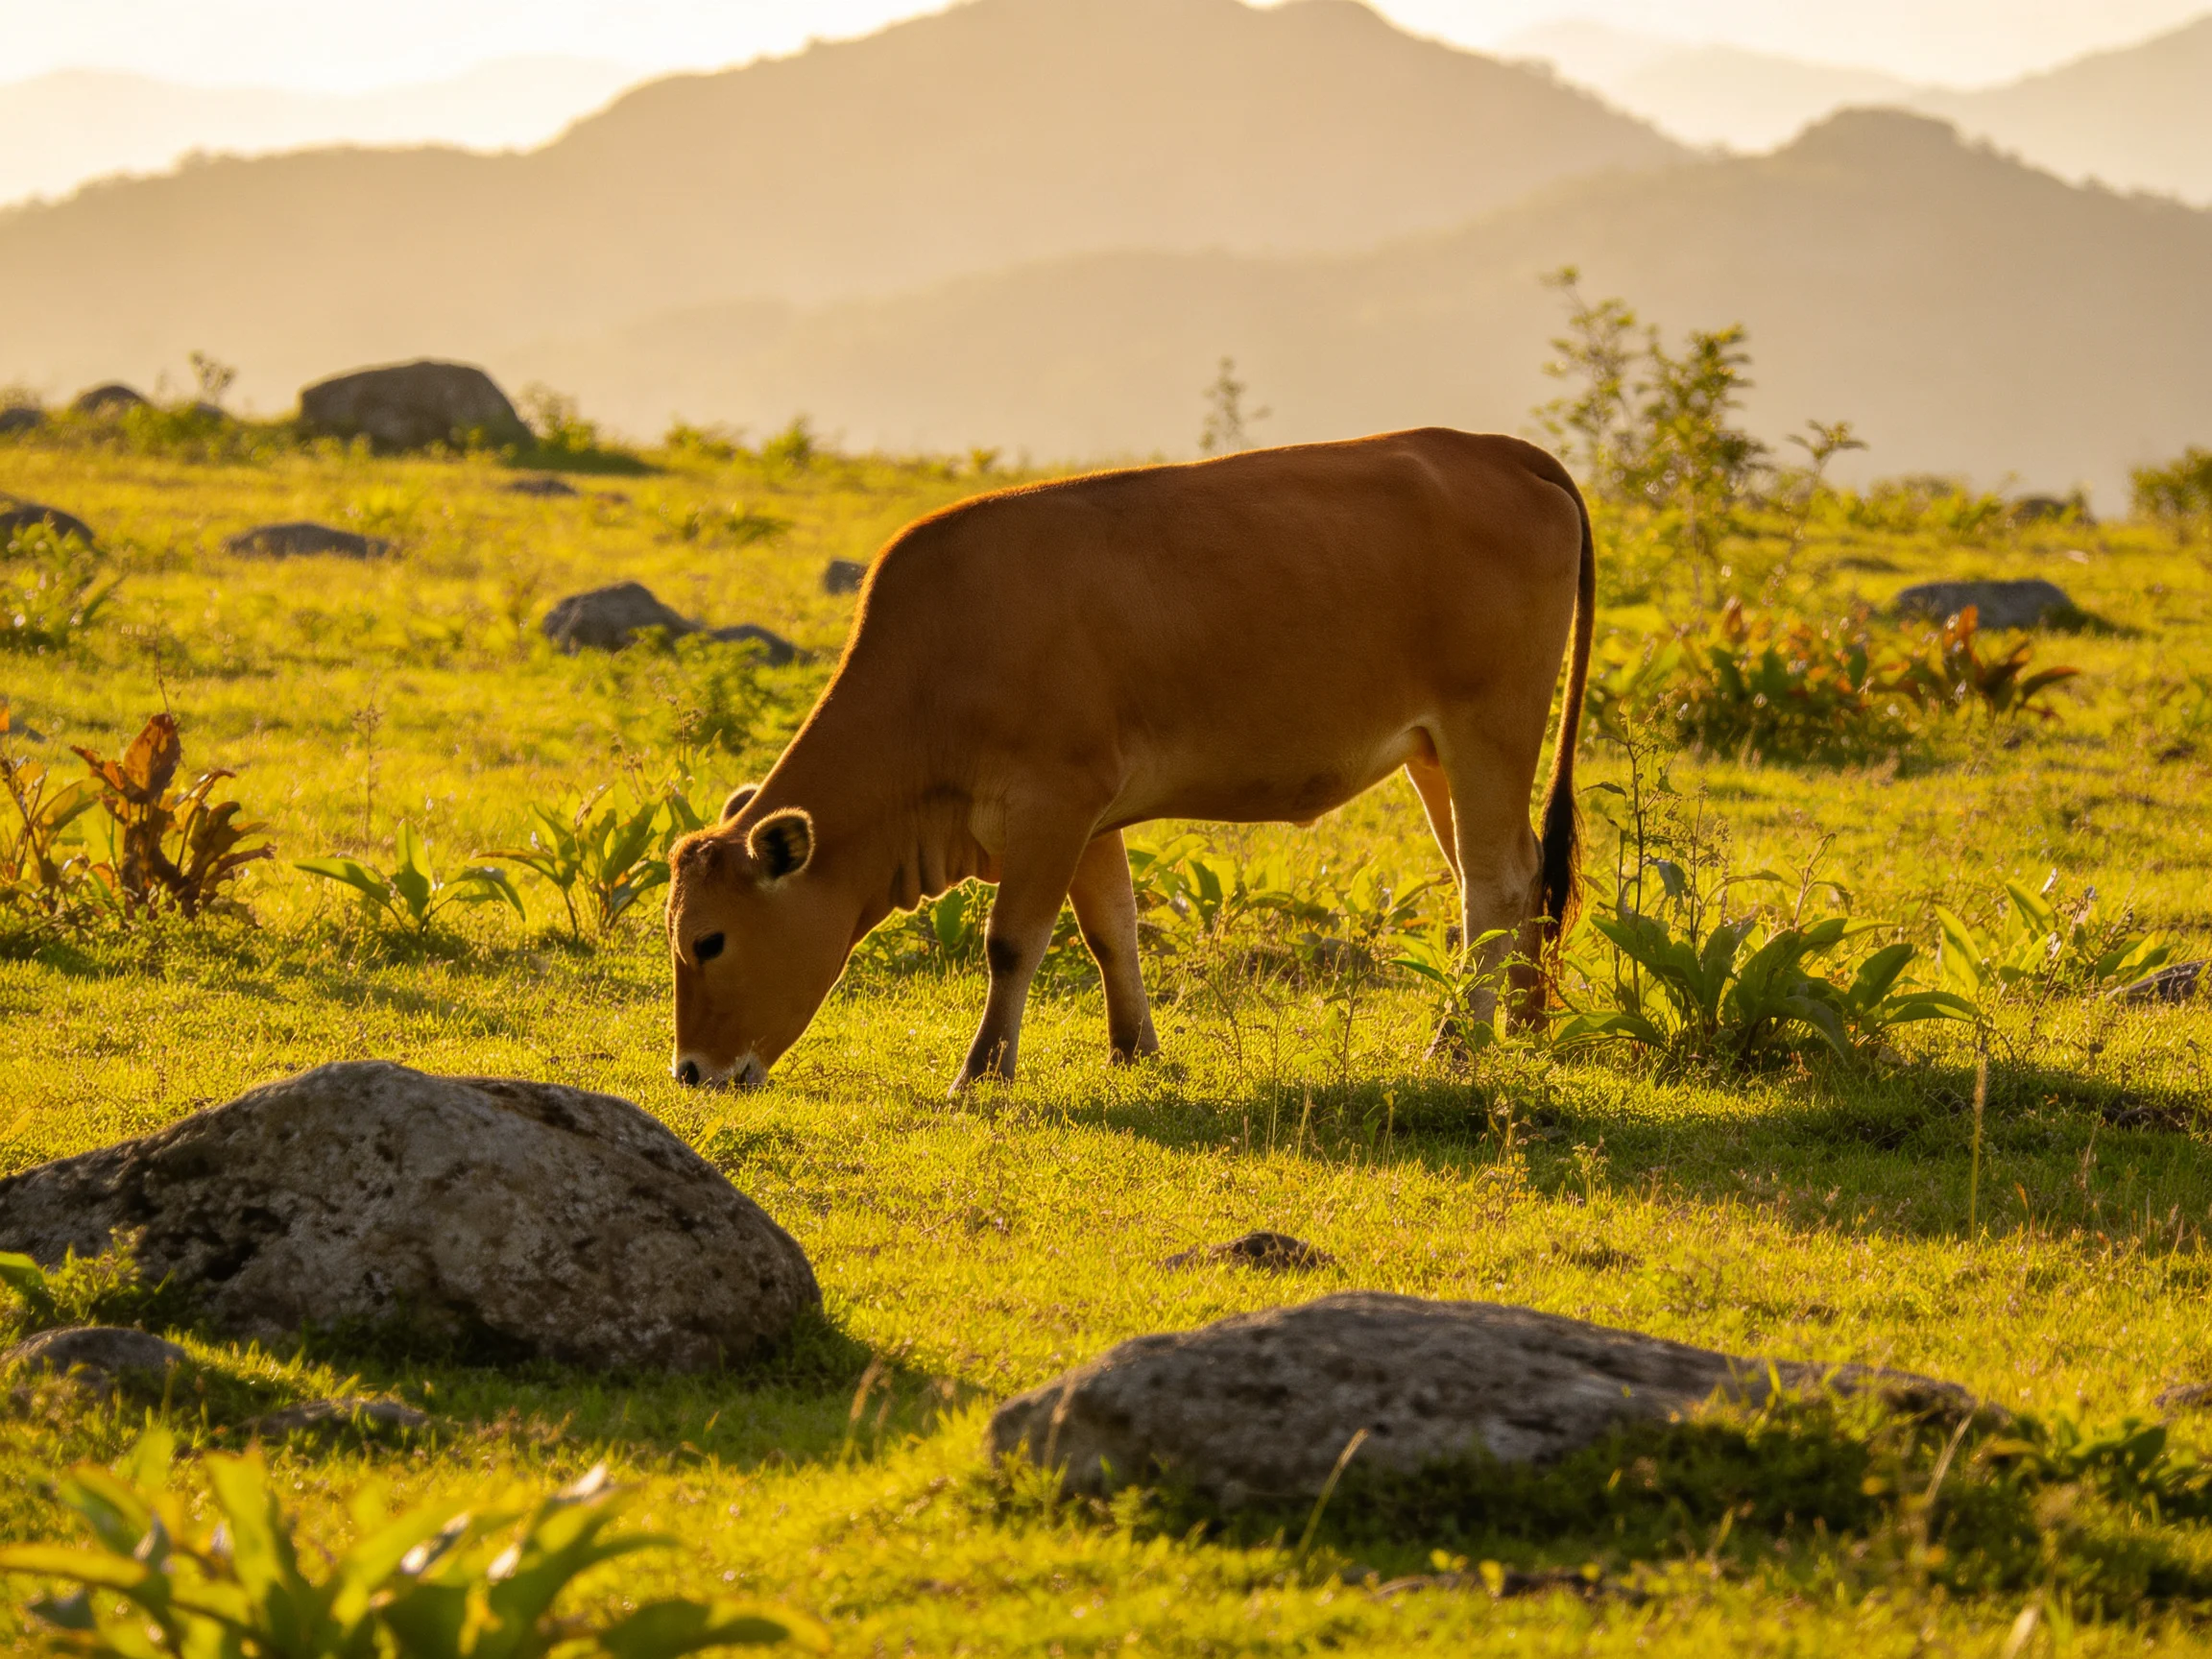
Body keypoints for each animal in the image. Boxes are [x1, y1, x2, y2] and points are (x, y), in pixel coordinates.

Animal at [666, 427, 1595, 1092]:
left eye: (708, 941)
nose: (691, 1073)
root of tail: (1493, 447)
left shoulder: (1056, 798)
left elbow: (1012, 941)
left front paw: (982, 1074)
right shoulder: (1085, 812)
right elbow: (1111, 930)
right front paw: (1133, 1051)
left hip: (1490, 727)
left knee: (1495, 880)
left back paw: (1457, 1044)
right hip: (1434, 752)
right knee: (1510, 874)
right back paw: (1521, 1025)